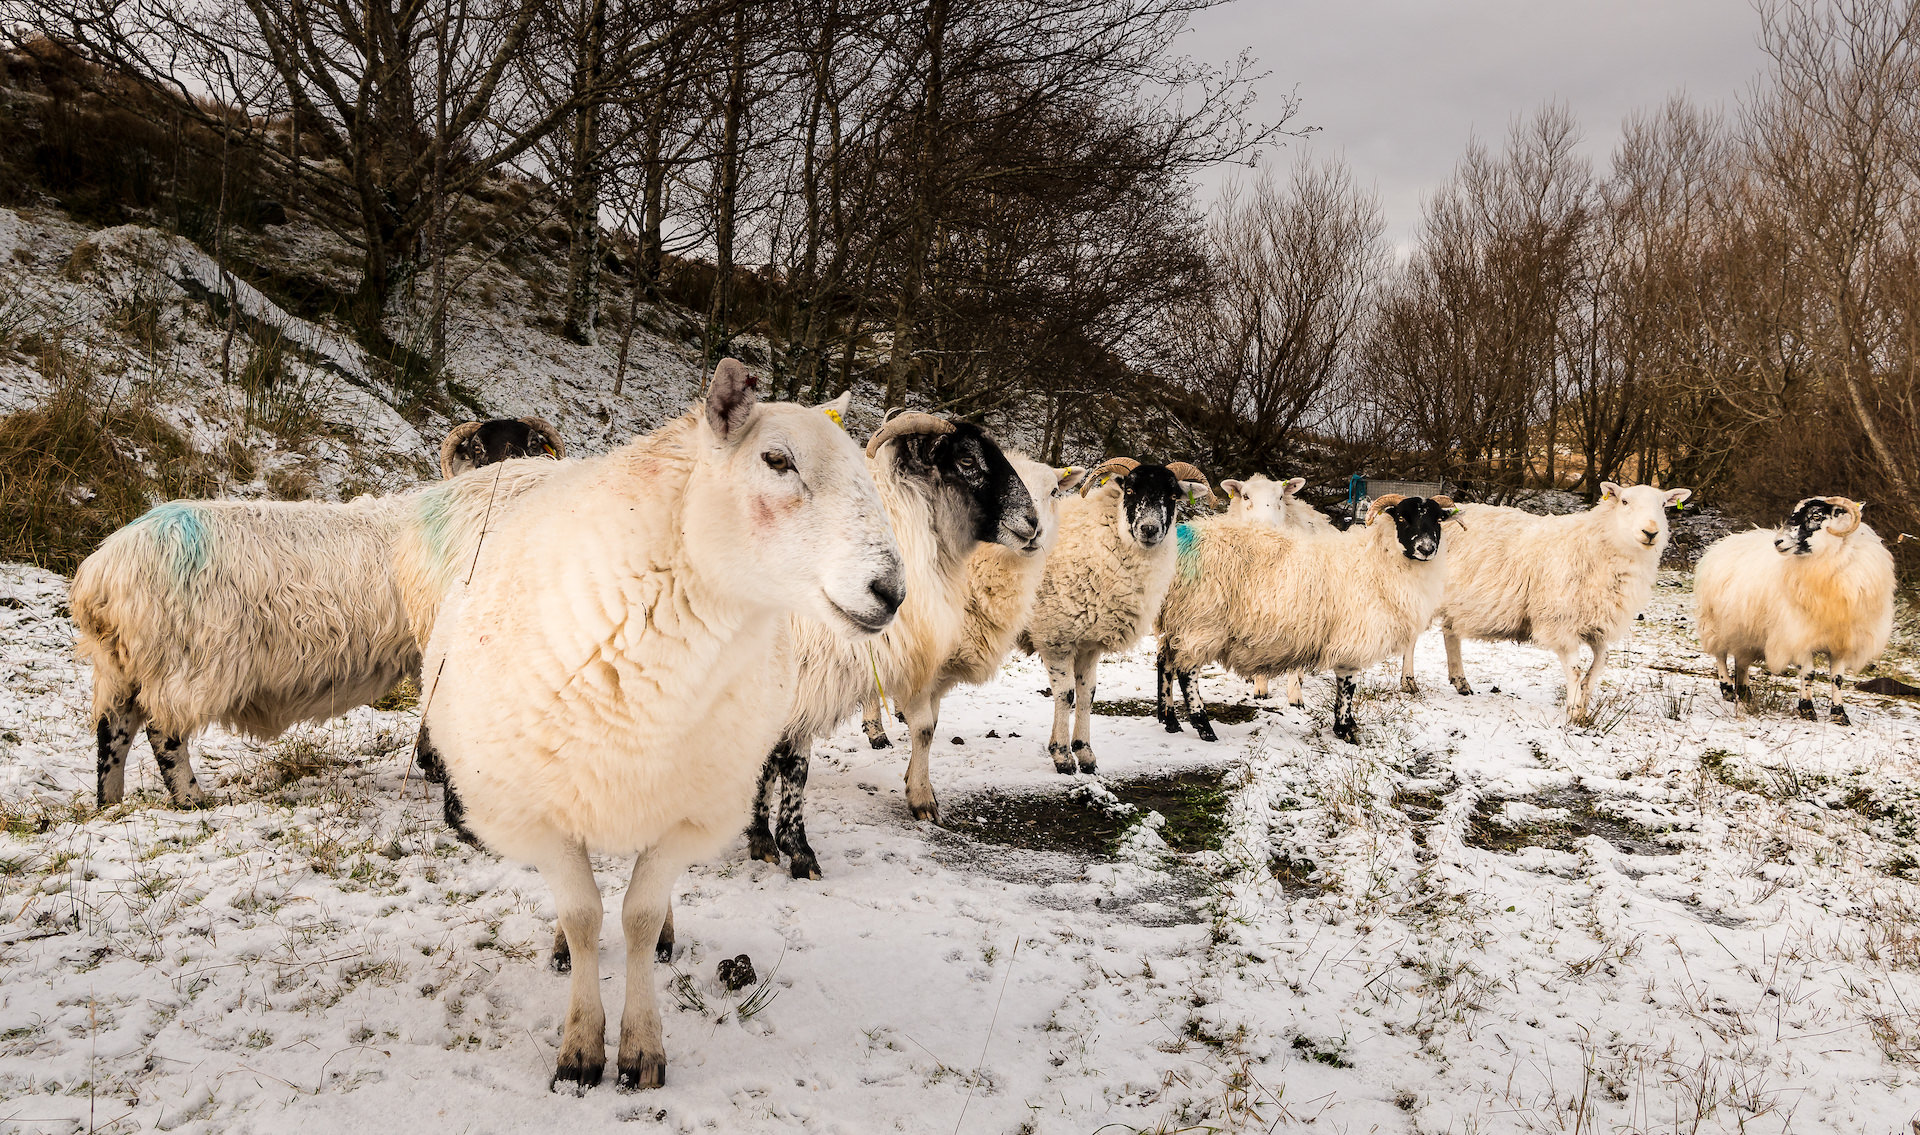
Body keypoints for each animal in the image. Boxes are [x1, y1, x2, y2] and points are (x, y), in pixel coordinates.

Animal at [737, 410, 1036, 879]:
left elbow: (779, 759)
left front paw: (767, 840)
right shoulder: (806, 675)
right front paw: (794, 848)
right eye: (967, 460)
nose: (1033, 522)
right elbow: (788, 762)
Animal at [856, 457, 1082, 821]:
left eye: (1053, 492)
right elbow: (924, 729)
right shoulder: (921, 658)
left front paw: (914, 780)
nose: (1033, 529)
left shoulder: (939, 670)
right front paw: (922, 799)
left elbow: (930, 726)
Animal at [1029, 457, 1205, 775]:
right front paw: (1062, 756)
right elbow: (1066, 694)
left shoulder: (1088, 643)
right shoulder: (1055, 637)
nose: (1149, 529)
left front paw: (1084, 753)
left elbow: (1087, 694)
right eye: (1131, 490)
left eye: (1173, 496)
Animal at [1152, 495, 1451, 745]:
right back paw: (1204, 727)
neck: (1378, 559)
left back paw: (1170, 720)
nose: (1427, 548)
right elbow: (1348, 687)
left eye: (1438, 519)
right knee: (1186, 672)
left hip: (1178, 621)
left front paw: (1348, 727)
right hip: (1200, 620)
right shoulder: (1352, 640)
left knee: (1164, 661)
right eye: (1402, 517)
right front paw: (1346, 730)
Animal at [1397, 483, 1697, 722]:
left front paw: (1583, 704)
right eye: (1625, 502)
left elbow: (1599, 664)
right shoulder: (1560, 622)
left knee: (1450, 632)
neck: (1597, 546)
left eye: (1663, 505)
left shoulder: (1596, 626)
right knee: (1411, 636)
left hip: (1455, 603)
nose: (1650, 532)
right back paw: (1409, 682)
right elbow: (1575, 671)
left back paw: (1461, 681)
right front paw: (1574, 715)